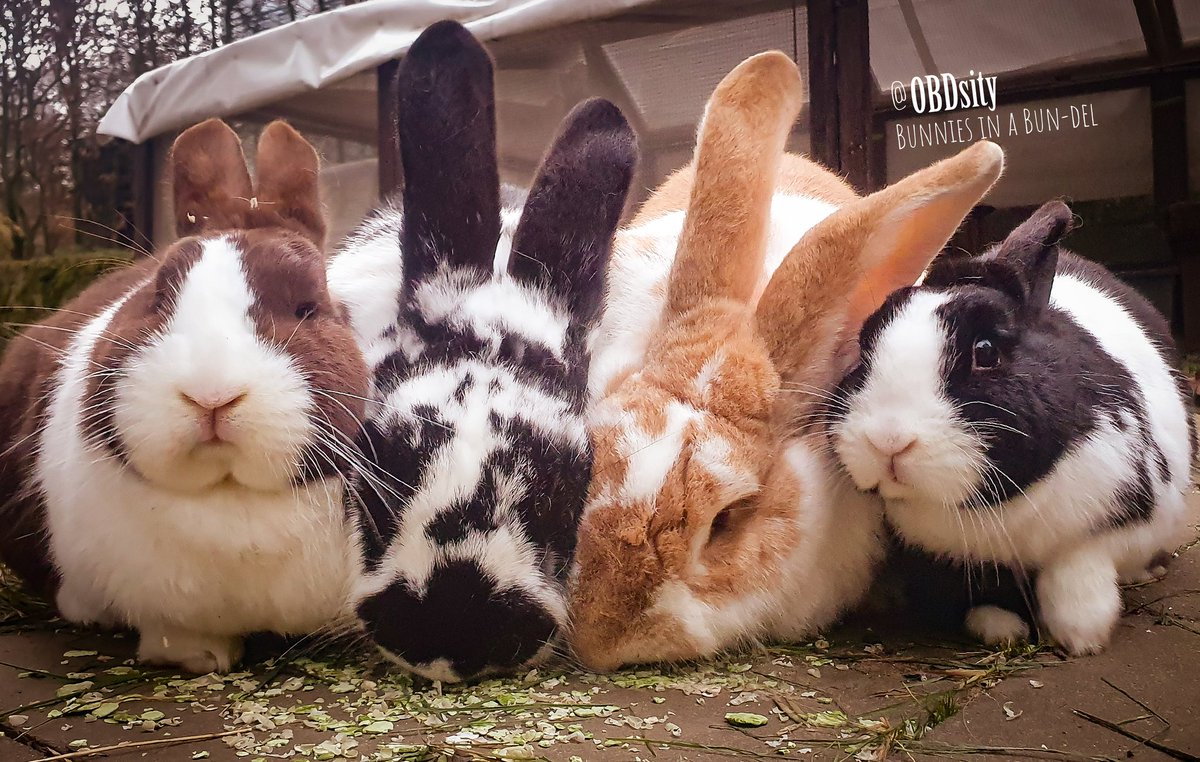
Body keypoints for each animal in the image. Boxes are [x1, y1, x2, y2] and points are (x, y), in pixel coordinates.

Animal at [0, 118, 369, 674]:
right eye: (158, 297)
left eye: (308, 307)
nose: (211, 394)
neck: (229, 498)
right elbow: (177, 637)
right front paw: (202, 659)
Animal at [831, 200, 1197, 655]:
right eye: (864, 349)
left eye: (986, 352)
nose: (888, 441)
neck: (999, 504)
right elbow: (980, 587)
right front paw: (1001, 628)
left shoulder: (1112, 518)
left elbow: (1077, 569)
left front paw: (1082, 635)